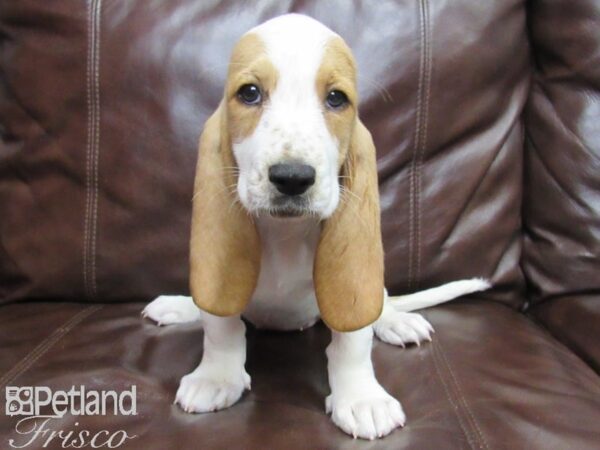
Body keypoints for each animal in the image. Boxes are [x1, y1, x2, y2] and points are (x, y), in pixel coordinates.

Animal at [143, 13, 490, 440]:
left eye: (337, 99)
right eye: (249, 93)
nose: (292, 178)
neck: (285, 234)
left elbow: (352, 343)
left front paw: (361, 398)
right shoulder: (221, 290)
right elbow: (222, 327)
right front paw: (216, 376)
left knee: (381, 301)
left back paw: (396, 321)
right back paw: (179, 306)